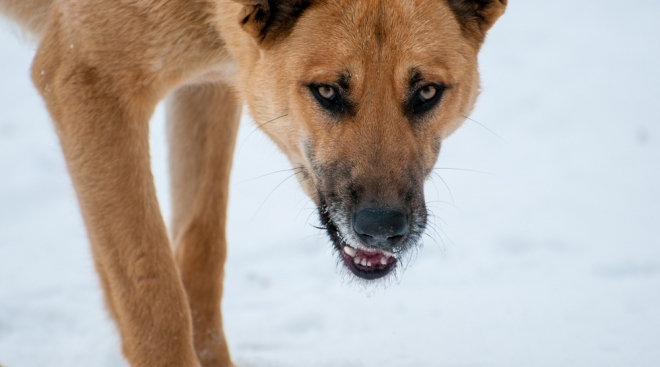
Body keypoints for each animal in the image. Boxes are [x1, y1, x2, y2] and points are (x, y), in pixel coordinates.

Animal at [0, 0, 508, 366]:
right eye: (327, 91)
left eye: (427, 93)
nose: (382, 229)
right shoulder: (88, 83)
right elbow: (153, 290)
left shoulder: (208, 84)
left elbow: (200, 252)